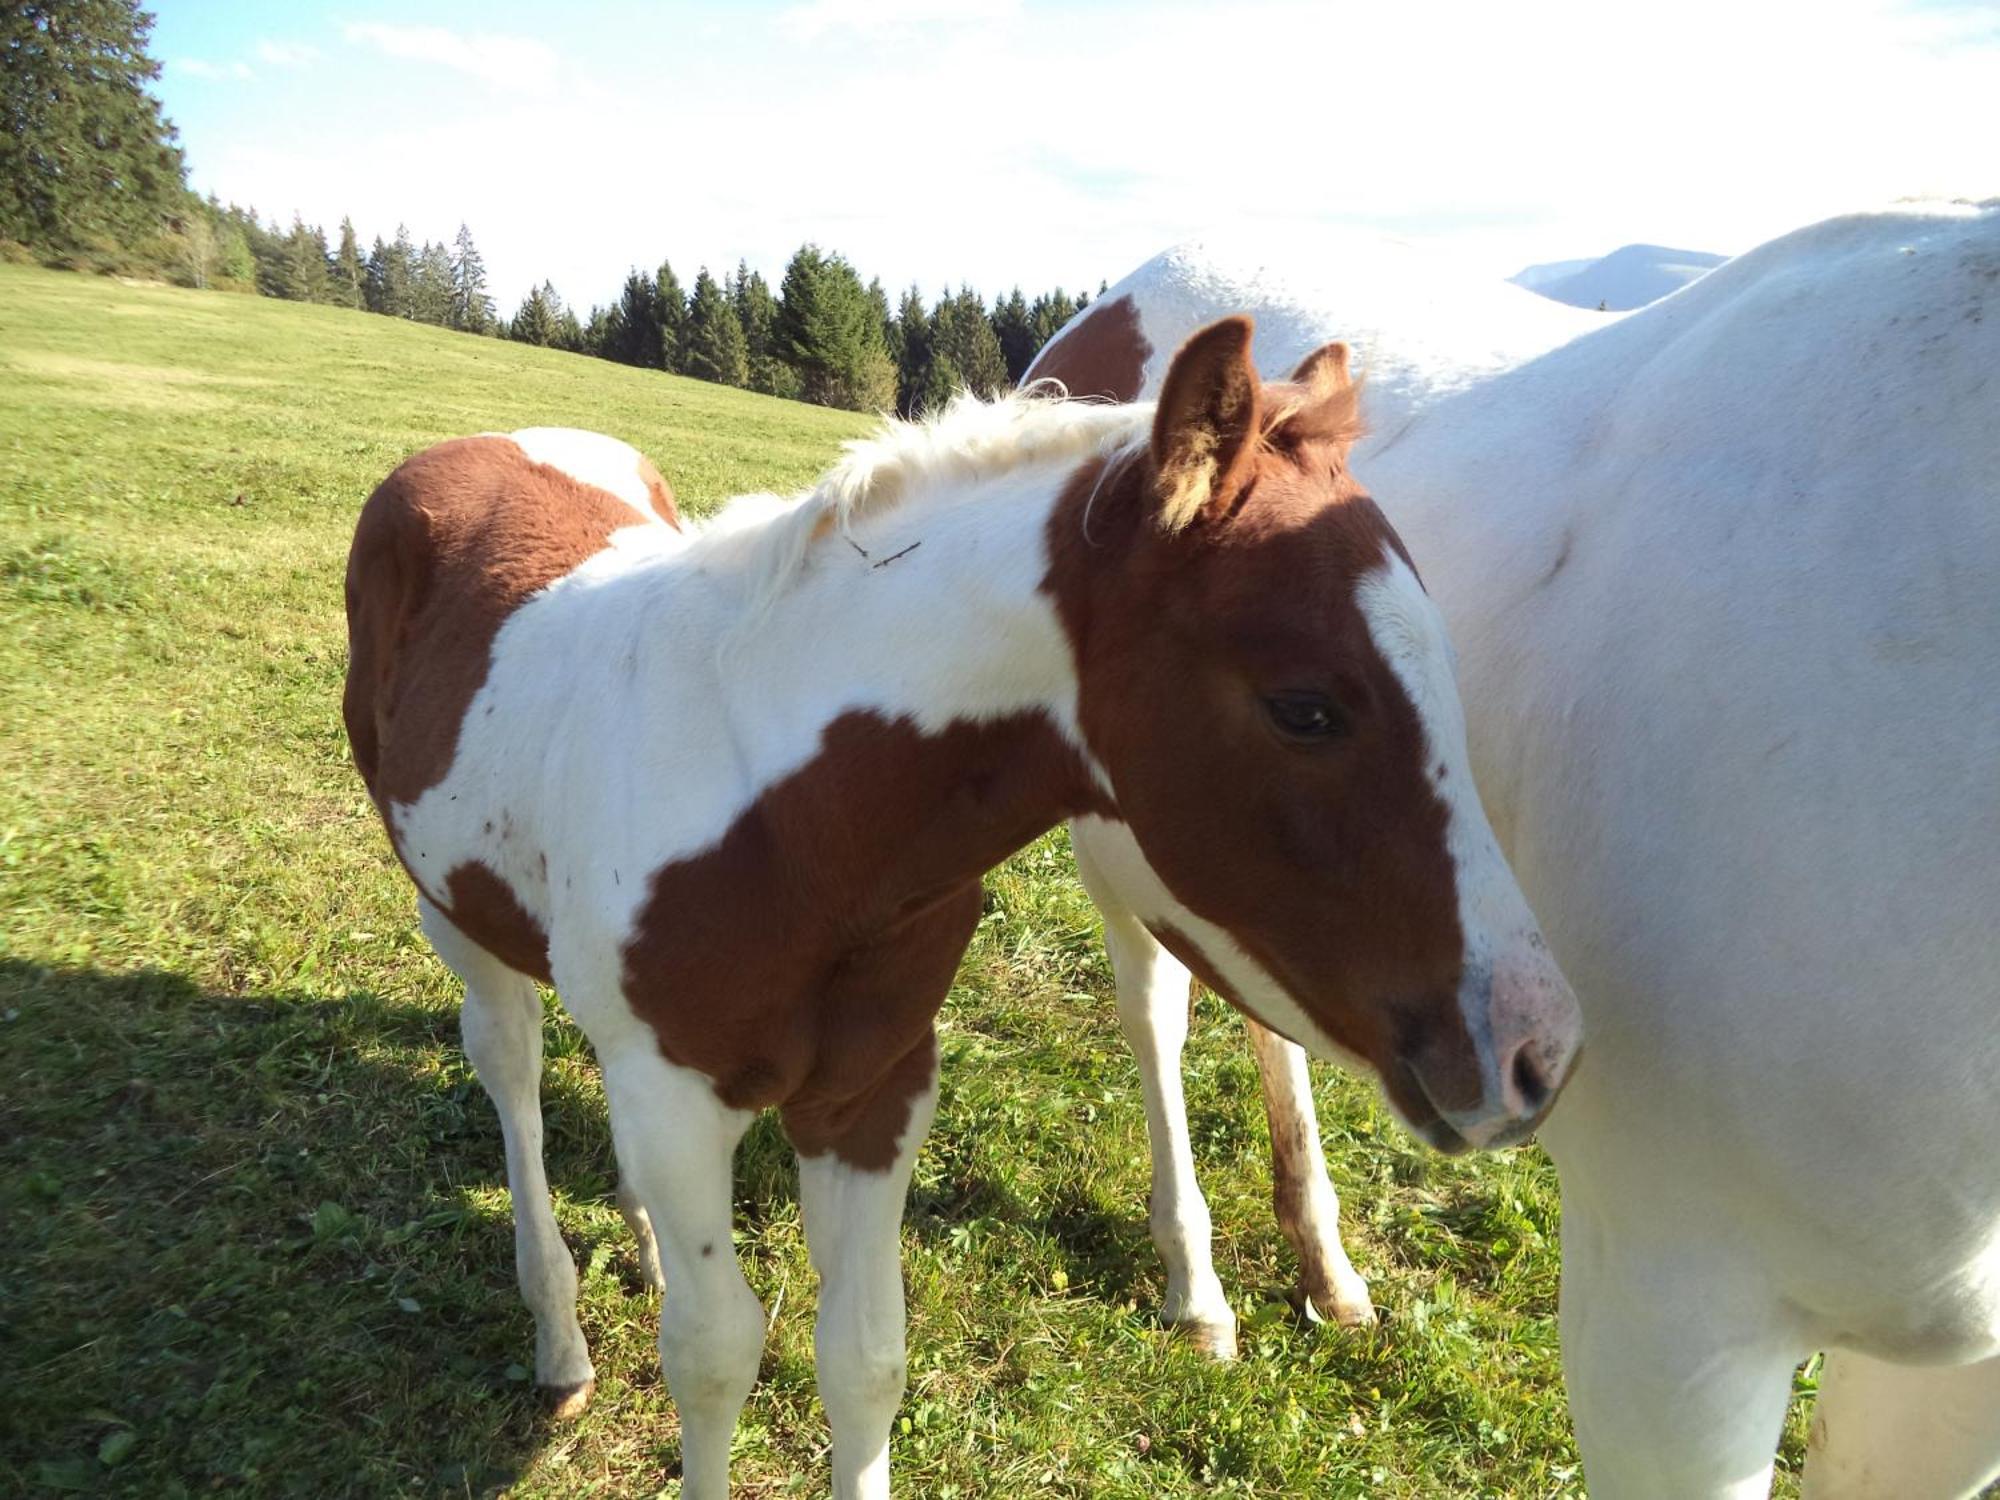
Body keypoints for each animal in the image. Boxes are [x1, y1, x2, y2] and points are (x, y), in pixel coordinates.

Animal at [352, 324, 1584, 1496]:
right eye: (1306, 708)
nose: (1536, 1051)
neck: (783, 812)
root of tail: (476, 442)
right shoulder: (676, 1094)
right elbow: (713, 1356)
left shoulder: (874, 1090)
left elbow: (863, 1358)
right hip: (456, 922)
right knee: (510, 1072)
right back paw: (559, 1341)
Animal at [1032, 203, 2000, 1500]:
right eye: (1305, 707)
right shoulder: (1670, 1326)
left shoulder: (1949, 1388)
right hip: (1118, 858)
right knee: (1156, 1014)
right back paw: (1196, 1286)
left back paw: (1325, 1263)